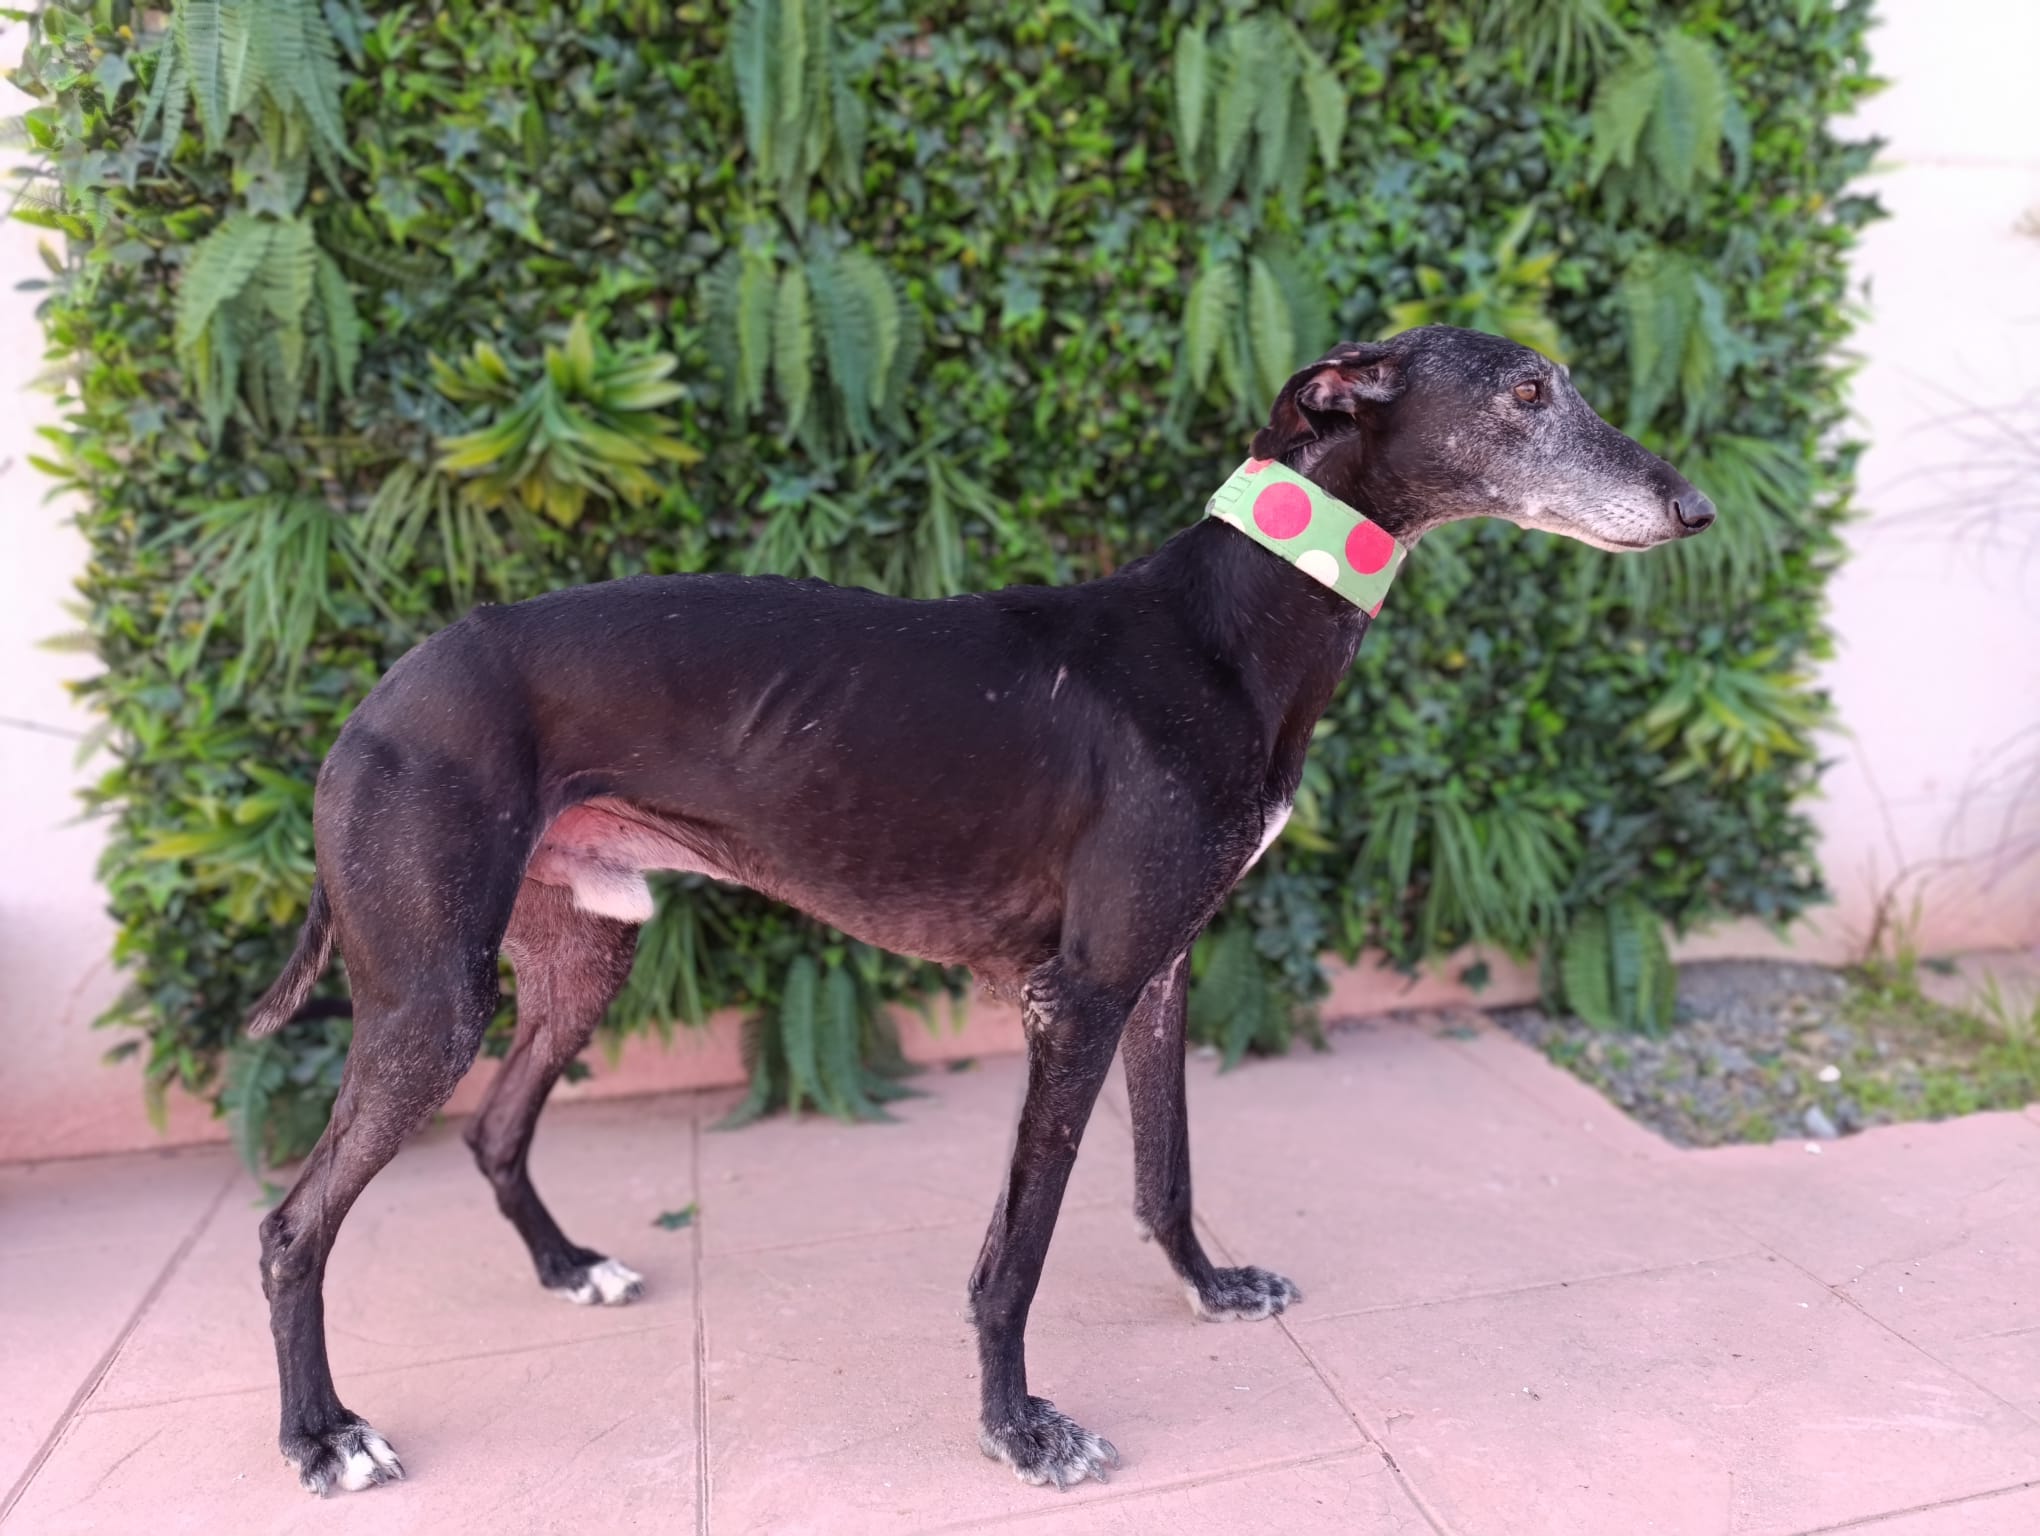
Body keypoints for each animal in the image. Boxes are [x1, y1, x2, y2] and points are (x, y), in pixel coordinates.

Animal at [244, 324, 1713, 1495]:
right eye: (1528, 390)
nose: (1696, 508)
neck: (1233, 626)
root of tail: (377, 700)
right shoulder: (1076, 996)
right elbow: (1020, 1247)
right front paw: (1020, 1427)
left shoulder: (1155, 972)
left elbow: (1167, 1170)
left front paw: (1210, 1287)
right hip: (430, 997)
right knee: (290, 1225)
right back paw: (324, 1435)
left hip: (579, 952)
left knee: (497, 1126)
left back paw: (566, 1269)